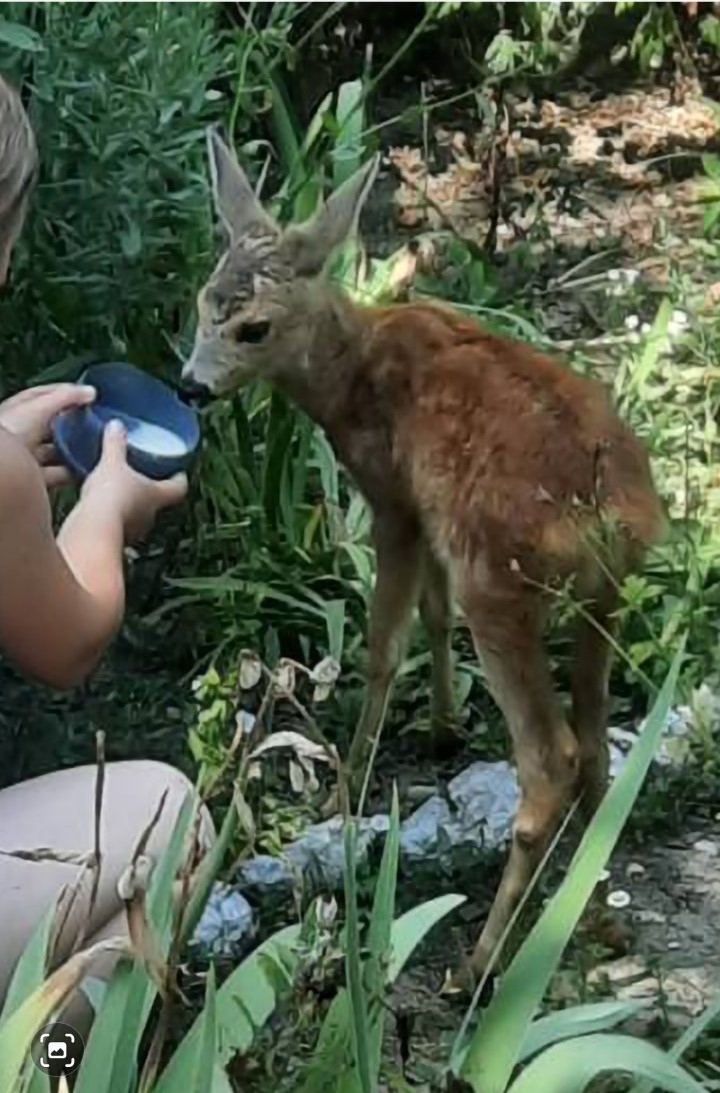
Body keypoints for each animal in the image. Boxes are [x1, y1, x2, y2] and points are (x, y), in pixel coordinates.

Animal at [183, 132, 668, 979]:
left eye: (254, 328)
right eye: (205, 302)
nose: (190, 387)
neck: (351, 374)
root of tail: (613, 510)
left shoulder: (394, 500)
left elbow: (385, 642)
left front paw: (349, 782)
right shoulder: (434, 516)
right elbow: (433, 616)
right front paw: (443, 727)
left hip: (501, 585)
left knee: (550, 757)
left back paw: (479, 960)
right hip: (601, 597)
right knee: (596, 746)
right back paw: (597, 920)